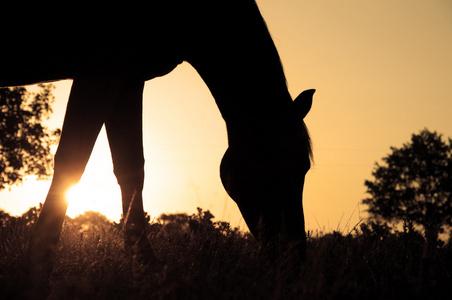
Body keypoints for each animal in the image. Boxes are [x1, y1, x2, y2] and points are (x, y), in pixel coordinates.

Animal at [1, 0, 314, 292]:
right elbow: (73, 160)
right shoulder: (100, 68)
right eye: (279, 166)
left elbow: (130, 168)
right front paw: (36, 270)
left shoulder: (128, 76)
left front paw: (146, 268)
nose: (294, 259)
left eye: (305, 167)